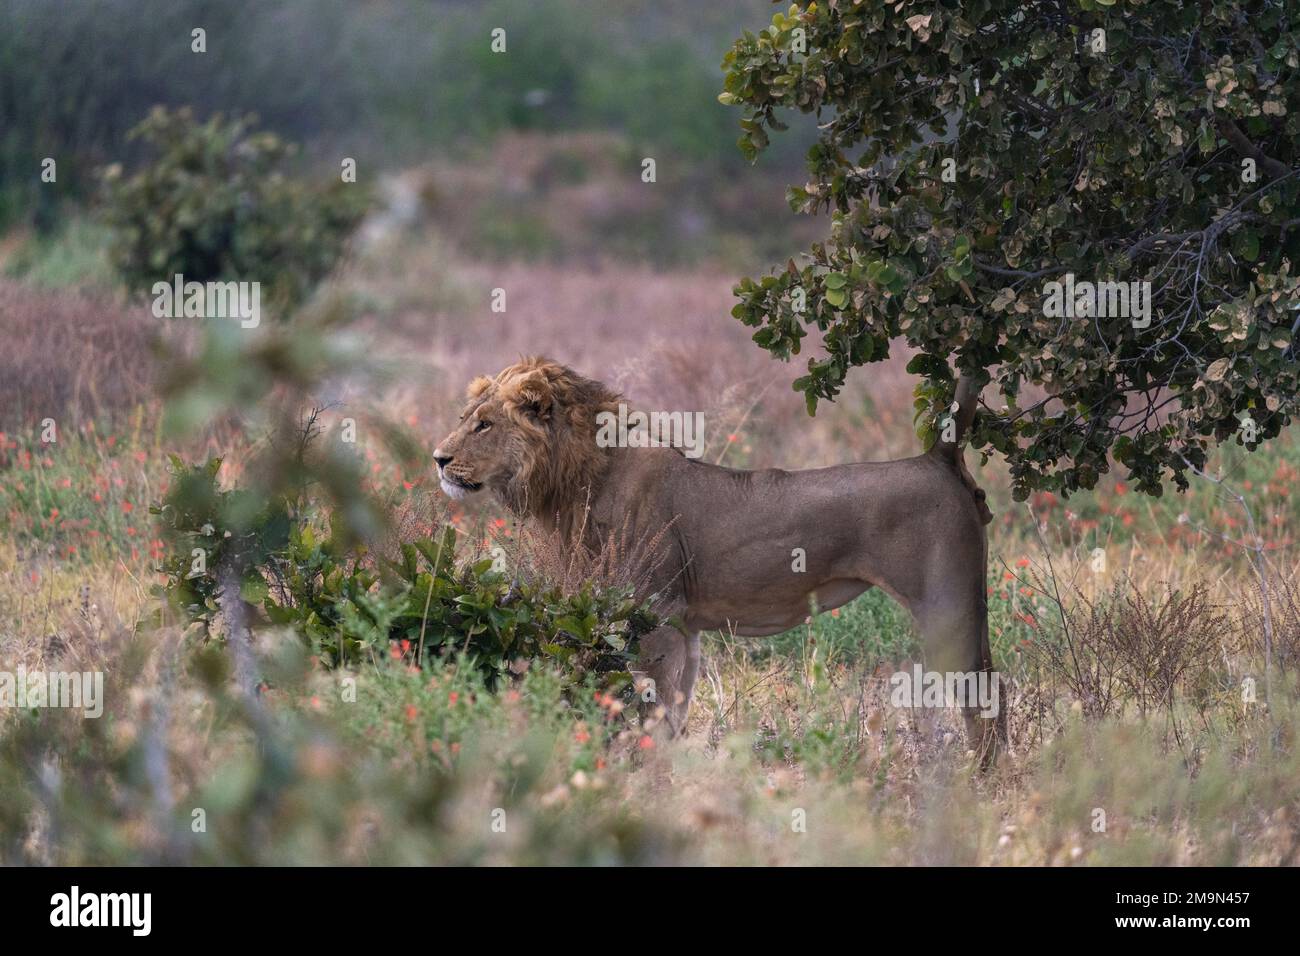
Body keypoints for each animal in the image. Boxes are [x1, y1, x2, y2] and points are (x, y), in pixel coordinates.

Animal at [434, 357, 1003, 764]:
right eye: (465, 420)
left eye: (484, 426)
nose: (438, 458)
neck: (578, 478)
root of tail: (938, 457)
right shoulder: (684, 625)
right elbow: (675, 711)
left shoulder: (656, 614)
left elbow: (653, 707)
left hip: (944, 603)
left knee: (979, 695)